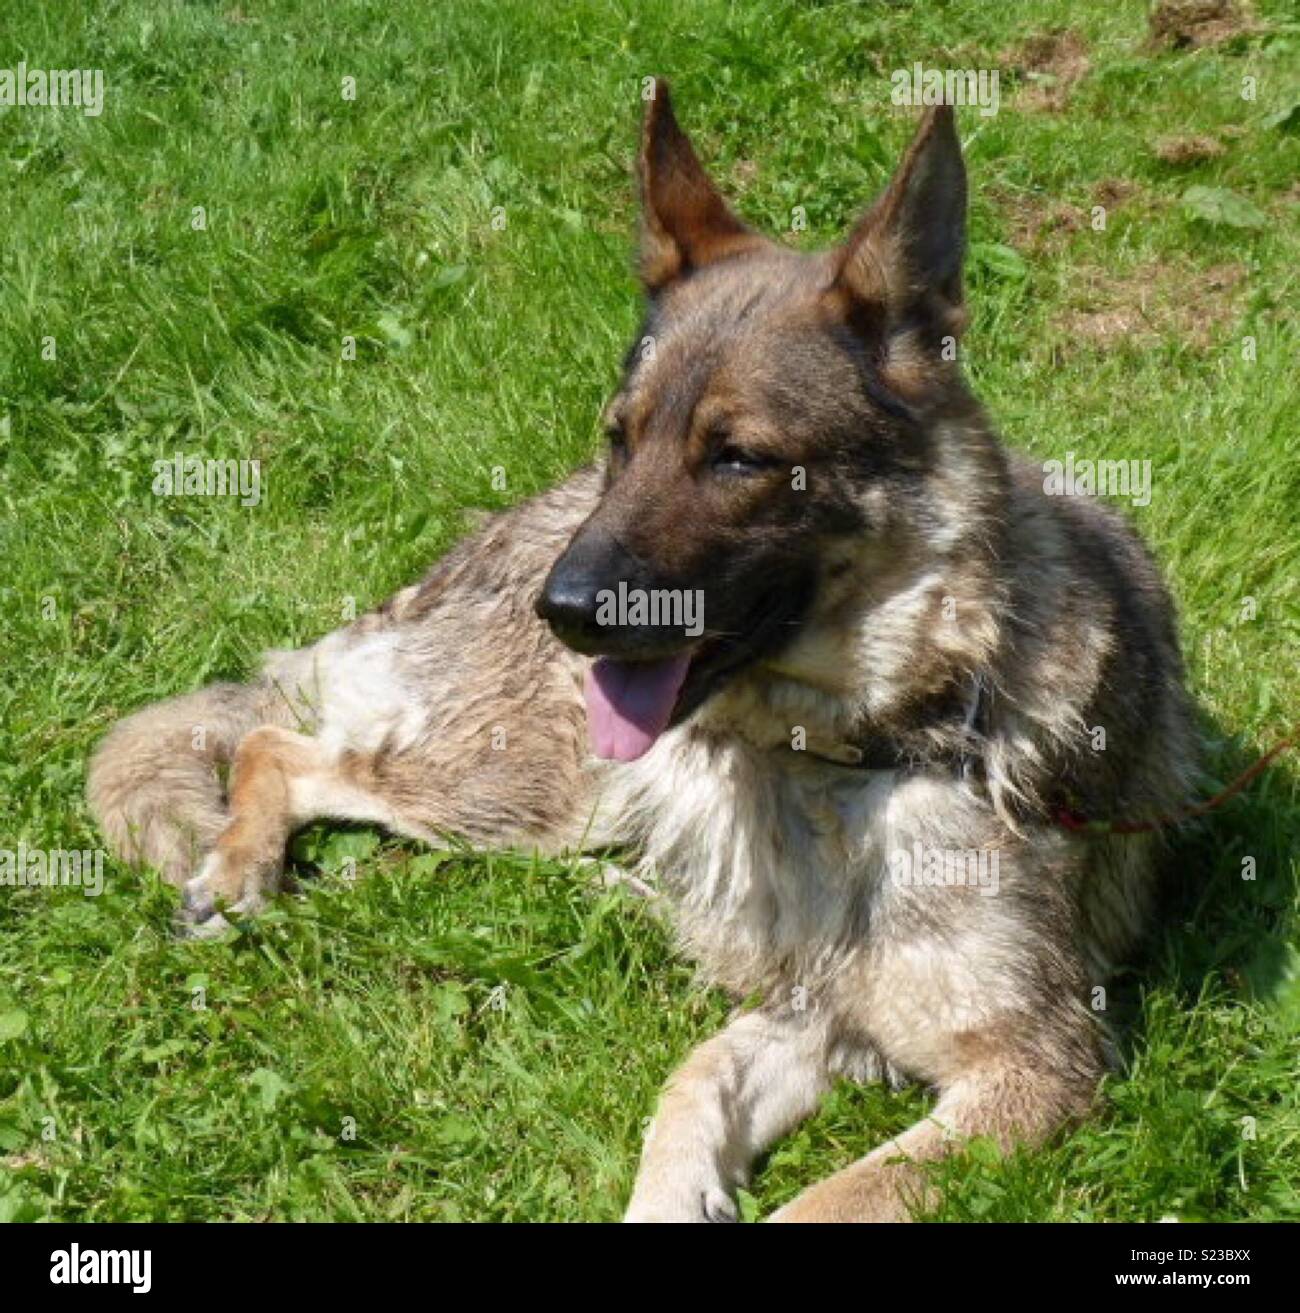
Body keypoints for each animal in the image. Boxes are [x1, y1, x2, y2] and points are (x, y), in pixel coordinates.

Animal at [89, 87, 1202, 1223]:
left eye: (739, 459)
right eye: (622, 438)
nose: (561, 611)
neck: (848, 755)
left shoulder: (1025, 1061)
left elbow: (809, 1184)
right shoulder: (821, 1013)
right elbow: (691, 1086)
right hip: (534, 792)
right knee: (280, 744)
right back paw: (240, 867)